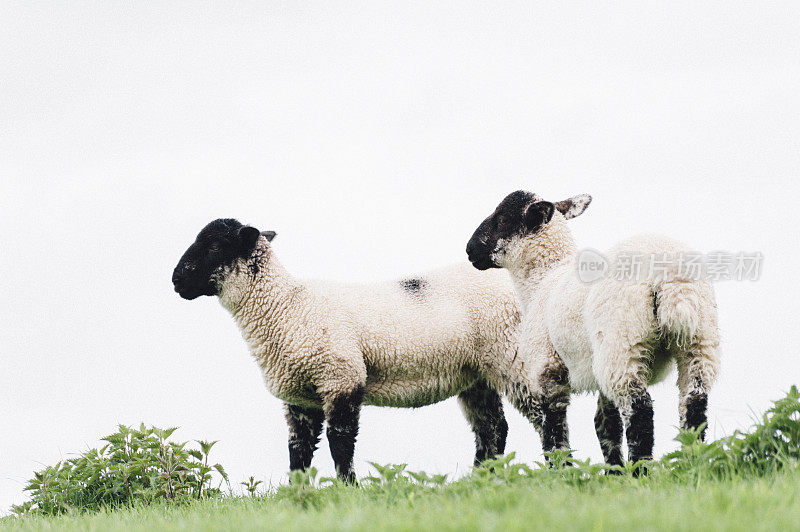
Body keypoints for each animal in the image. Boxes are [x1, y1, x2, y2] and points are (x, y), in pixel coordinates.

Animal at [174, 216, 560, 482]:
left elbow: (340, 441)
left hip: (513, 355)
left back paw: (561, 469)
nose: (176, 280)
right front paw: (296, 492)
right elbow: (298, 450)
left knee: (545, 412)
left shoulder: (341, 376)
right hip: (476, 373)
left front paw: (349, 489)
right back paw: (477, 481)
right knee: (493, 429)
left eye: (214, 246)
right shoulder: (301, 395)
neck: (286, 307)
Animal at [466, 192, 720, 470]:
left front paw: (561, 471)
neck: (543, 280)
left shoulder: (547, 365)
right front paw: (614, 471)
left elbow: (554, 427)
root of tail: (672, 280)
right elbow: (606, 424)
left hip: (621, 341)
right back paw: (692, 462)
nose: (469, 250)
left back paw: (641, 470)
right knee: (694, 403)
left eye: (502, 219)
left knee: (640, 410)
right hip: (699, 340)